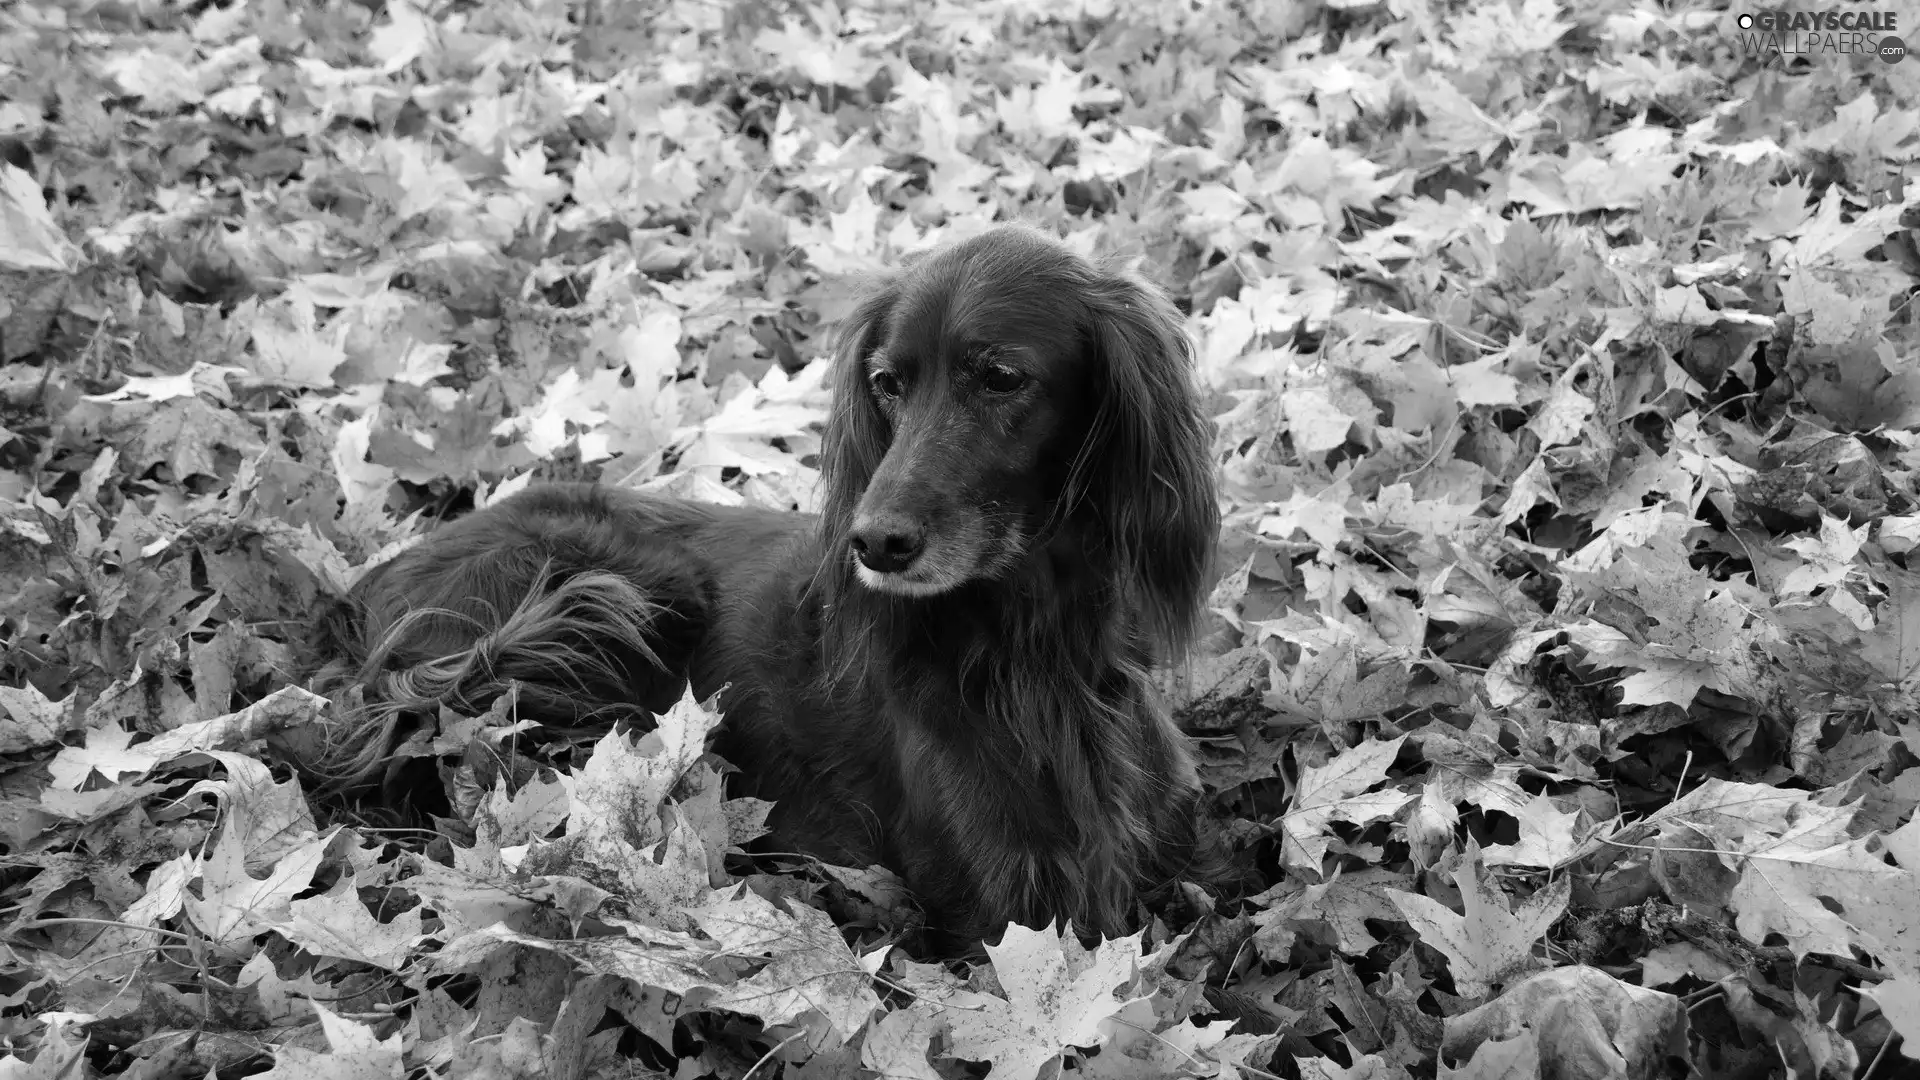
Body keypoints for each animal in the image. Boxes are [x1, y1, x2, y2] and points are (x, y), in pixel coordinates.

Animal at [307, 224, 1221, 941]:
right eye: (887, 384)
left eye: (1001, 377)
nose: (872, 542)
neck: (1034, 643)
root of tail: (370, 582)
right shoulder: (1004, 911)